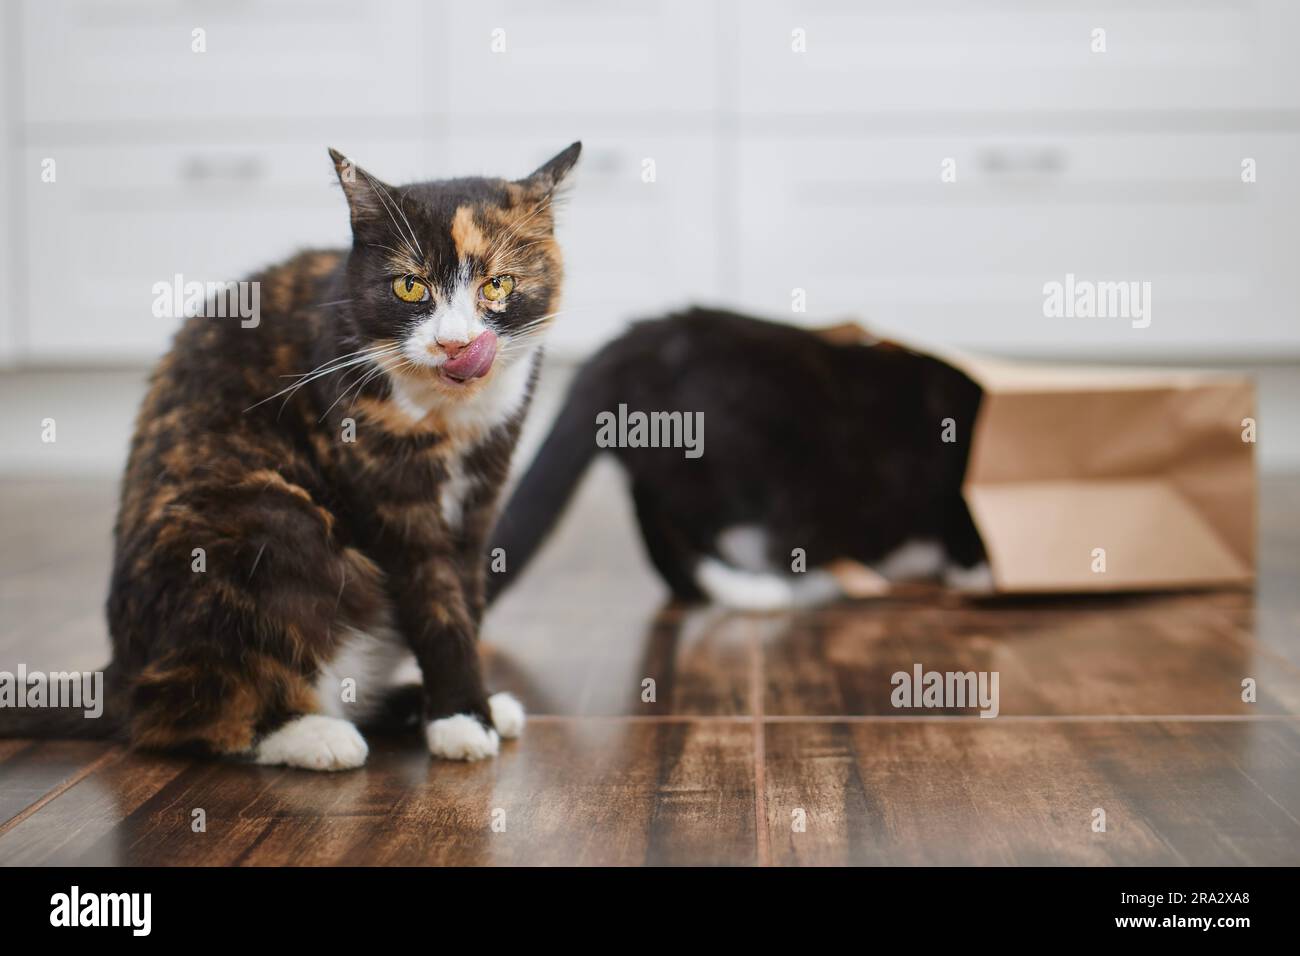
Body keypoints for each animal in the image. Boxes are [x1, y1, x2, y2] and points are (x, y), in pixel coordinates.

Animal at [0, 143, 579, 770]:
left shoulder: (482, 490)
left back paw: (404, 707)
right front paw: (462, 720)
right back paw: (315, 734)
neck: (450, 415)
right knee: (178, 713)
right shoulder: (390, 500)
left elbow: (467, 595)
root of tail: (120, 671)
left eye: (497, 285)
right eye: (409, 287)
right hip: (269, 523)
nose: (455, 344)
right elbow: (436, 602)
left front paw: (473, 706)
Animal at [486, 314, 982, 613]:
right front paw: (973, 574)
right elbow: (967, 538)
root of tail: (642, 339)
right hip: (731, 468)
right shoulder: (956, 493)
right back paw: (750, 590)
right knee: (682, 526)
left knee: (652, 514)